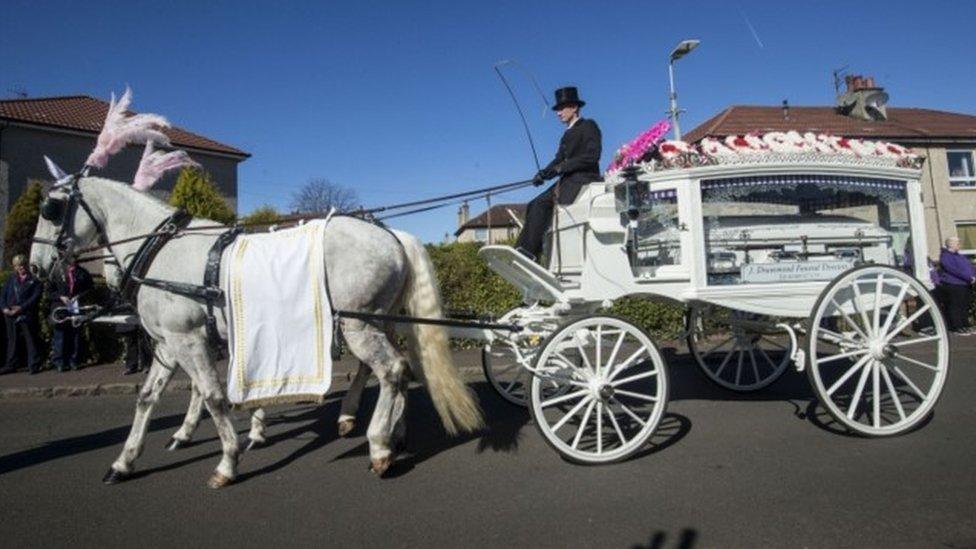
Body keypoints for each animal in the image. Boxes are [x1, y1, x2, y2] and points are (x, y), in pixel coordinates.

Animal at [31, 174, 484, 484]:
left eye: (50, 209)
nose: (35, 267)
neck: (160, 251)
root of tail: (391, 233)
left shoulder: (189, 340)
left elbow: (214, 397)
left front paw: (228, 460)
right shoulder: (169, 343)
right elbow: (148, 399)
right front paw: (125, 461)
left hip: (358, 322)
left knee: (391, 370)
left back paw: (377, 445)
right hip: (375, 320)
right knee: (391, 368)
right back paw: (388, 429)